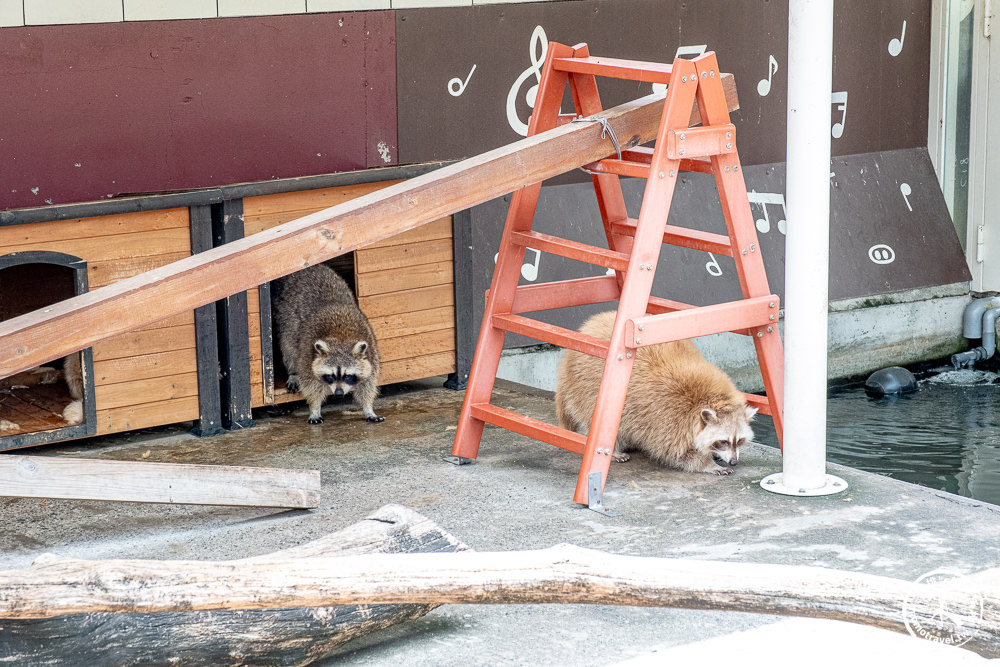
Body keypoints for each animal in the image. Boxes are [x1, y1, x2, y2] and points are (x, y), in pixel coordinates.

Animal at [272, 264, 384, 426]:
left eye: (348, 376)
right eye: (330, 375)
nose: (338, 393)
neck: (341, 337)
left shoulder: (371, 351)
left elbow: (368, 383)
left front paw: (368, 408)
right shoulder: (308, 352)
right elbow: (311, 384)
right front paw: (314, 408)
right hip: (285, 321)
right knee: (289, 348)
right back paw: (293, 372)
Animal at [556, 312, 756, 474]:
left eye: (739, 440)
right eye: (723, 441)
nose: (734, 461)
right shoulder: (669, 418)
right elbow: (678, 453)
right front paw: (708, 464)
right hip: (590, 387)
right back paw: (615, 449)